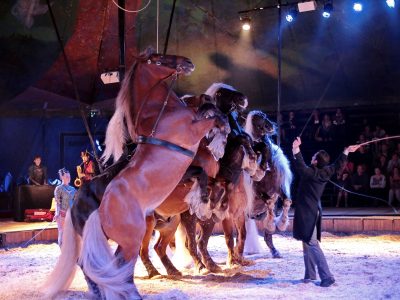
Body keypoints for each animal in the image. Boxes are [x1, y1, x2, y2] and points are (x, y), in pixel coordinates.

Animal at [42, 48, 230, 298]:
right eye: (156, 60)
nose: (187, 62)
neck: (161, 114)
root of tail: (98, 210)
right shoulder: (193, 134)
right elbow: (213, 125)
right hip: (133, 238)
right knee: (112, 266)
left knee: (106, 265)